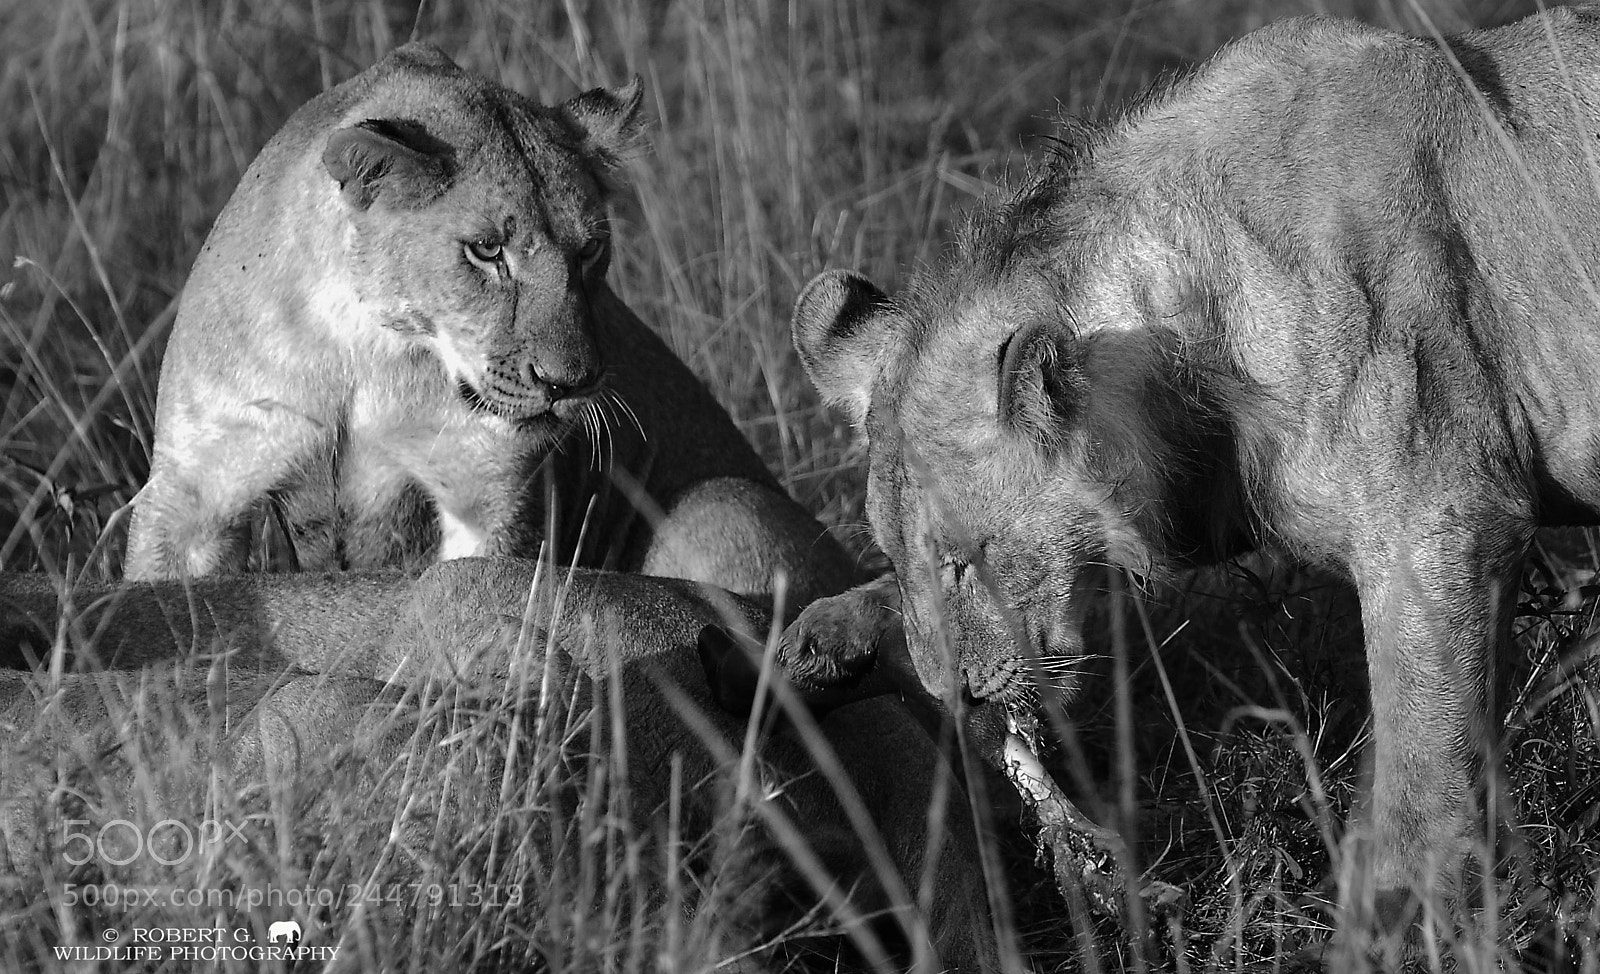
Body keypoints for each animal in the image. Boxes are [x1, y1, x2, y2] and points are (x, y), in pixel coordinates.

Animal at [122, 42, 850, 614]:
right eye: (486, 250)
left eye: (592, 250)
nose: (570, 383)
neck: (369, 347)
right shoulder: (195, 491)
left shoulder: (488, 490)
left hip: (721, 503)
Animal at [781, 5, 1600, 955]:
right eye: (900, 557)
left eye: (966, 557)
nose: (959, 697)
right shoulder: (1216, 502)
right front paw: (817, 642)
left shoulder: (1448, 524)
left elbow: (1422, 767)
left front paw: (1390, 924)